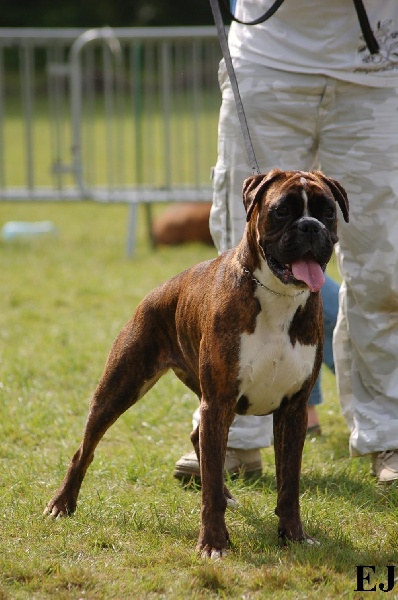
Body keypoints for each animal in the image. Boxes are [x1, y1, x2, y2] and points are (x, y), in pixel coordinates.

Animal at [43, 168, 348, 556]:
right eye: (281, 211)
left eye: (327, 212)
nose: (310, 226)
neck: (277, 297)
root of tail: (160, 290)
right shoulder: (218, 403)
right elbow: (212, 487)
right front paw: (214, 542)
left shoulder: (292, 410)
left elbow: (288, 484)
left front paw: (293, 535)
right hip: (120, 389)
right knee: (84, 449)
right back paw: (62, 504)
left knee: (196, 439)